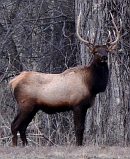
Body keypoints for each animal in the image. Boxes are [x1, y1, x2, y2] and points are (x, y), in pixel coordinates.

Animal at [9, 11, 122, 147]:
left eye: (107, 50)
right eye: (95, 51)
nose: (104, 57)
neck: (91, 85)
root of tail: (12, 82)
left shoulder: (84, 106)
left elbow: (81, 128)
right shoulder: (77, 104)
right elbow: (78, 128)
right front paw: (78, 145)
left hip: (33, 107)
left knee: (22, 127)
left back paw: (26, 145)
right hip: (25, 103)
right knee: (14, 125)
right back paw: (15, 146)